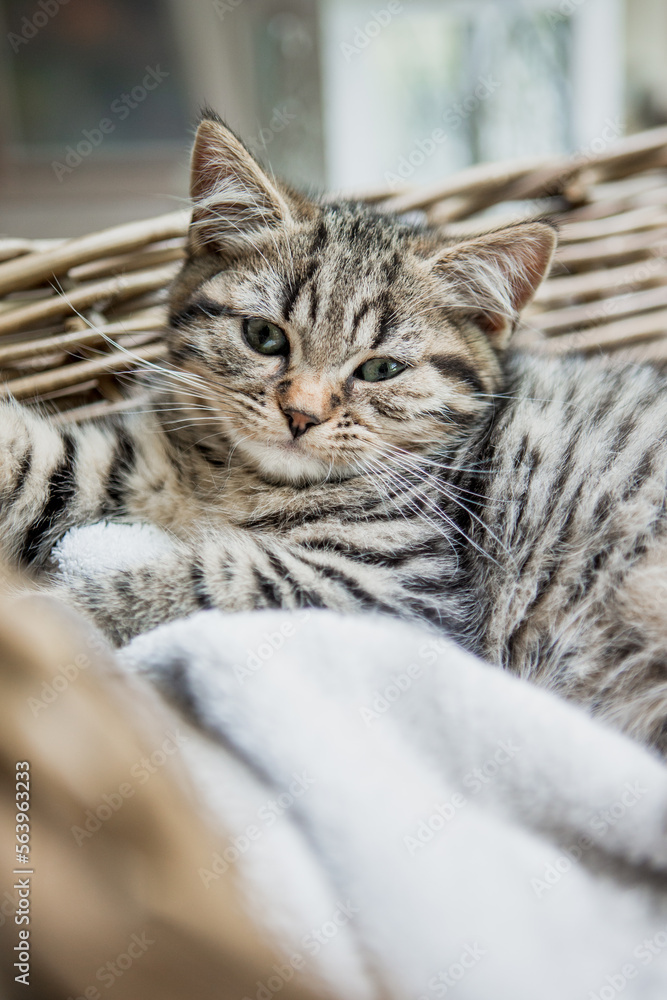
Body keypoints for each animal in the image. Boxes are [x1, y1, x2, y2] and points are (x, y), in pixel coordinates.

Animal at [1, 113, 667, 752]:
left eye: (380, 369)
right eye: (264, 337)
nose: (301, 413)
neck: (240, 484)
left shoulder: (391, 586)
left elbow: (196, 581)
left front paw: (58, 616)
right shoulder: (129, 466)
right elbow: (38, 464)